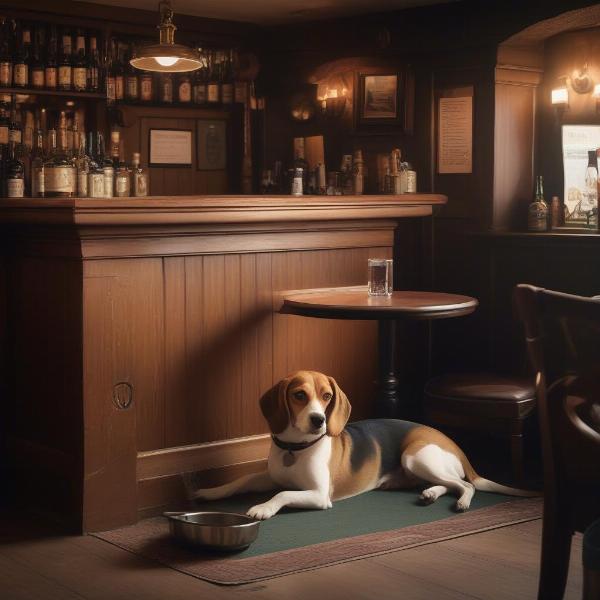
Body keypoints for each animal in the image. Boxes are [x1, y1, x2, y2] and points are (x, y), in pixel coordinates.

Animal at [189, 368, 536, 516]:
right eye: (299, 395)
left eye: (326, 396)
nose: (319, 420)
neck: (295, 448)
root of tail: (452, 442)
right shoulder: (269, 476)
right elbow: (242, 480)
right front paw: (210, 492)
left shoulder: (319, 495)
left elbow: (283, 493)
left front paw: (263, 508)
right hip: (417, 468)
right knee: (446, 484)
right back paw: (429, 494)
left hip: (416, 456)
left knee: (464, 485)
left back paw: (462, 501)